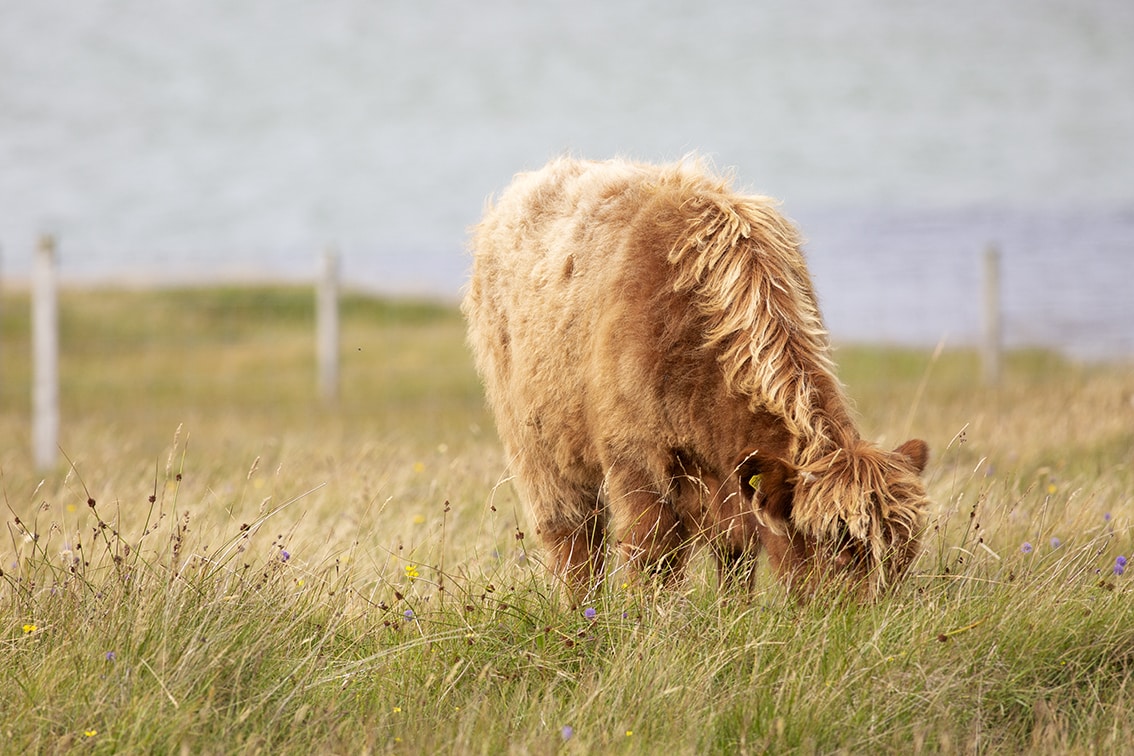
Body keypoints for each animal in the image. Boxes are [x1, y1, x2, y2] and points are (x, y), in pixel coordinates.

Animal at [460, 155, 929, 602]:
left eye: (904, 558)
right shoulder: (636, 460)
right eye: (838, 550)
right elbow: (652, 557)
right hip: (538, 447)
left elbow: (735, 556)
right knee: (574, 541)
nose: (872, 620)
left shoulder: (731, 487)